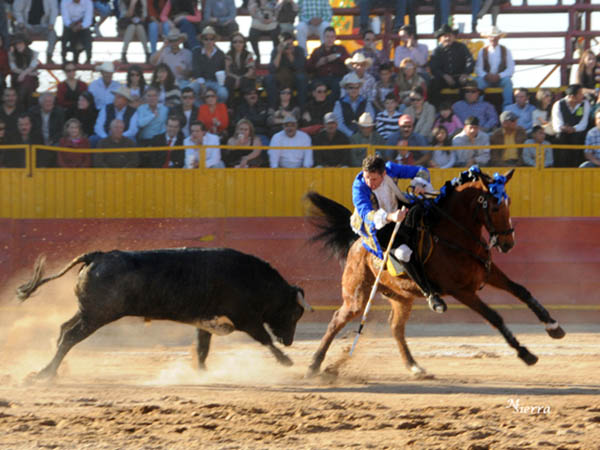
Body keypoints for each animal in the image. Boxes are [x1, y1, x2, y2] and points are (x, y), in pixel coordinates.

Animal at [15, 248, 312, 378]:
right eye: (293, 313)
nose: (289, 341)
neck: (254, 280)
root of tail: (96, 256)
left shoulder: (206, 321)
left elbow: (203, 346)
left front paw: (201, 371)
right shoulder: (246, 319)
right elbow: (265, 339)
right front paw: (286, 361)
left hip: (88, 312)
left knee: (64, 329)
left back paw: (54, 369)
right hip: (96, 316)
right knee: (70, 337)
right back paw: (46, 373)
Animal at [308, 168, 564, 376]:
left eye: (508, 202)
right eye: (493, 206)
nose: (508, 243)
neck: (455, 236)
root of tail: (357, 243)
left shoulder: (489, 273)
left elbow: (522, 291)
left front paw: (554, 327)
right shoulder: (462, 291)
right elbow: (494, 317)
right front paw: (526, 354)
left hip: (401, 297)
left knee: (396, 327)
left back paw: (414, 367)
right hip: (357, 296)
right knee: (337, 319)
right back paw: (314, 365)